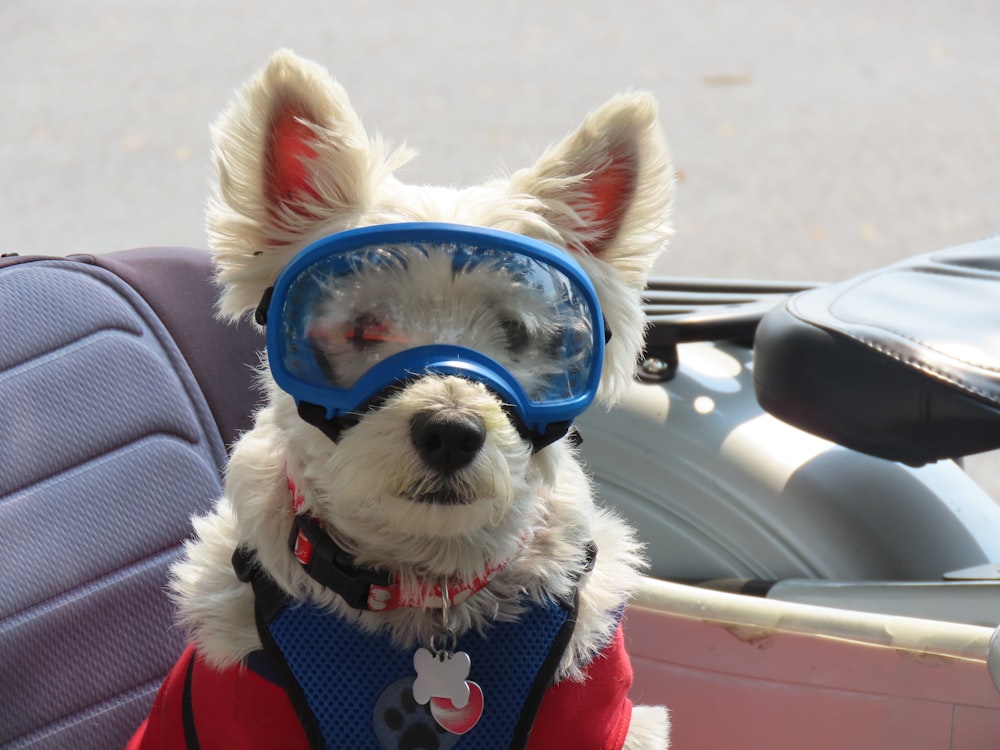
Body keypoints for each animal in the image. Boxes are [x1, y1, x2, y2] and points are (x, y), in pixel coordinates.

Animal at [131, 50, 672, 748]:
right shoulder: (239, 703)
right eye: (364, 329)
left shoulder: (590, 710)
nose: (450, 432)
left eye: (517, 333)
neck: (425, 590)